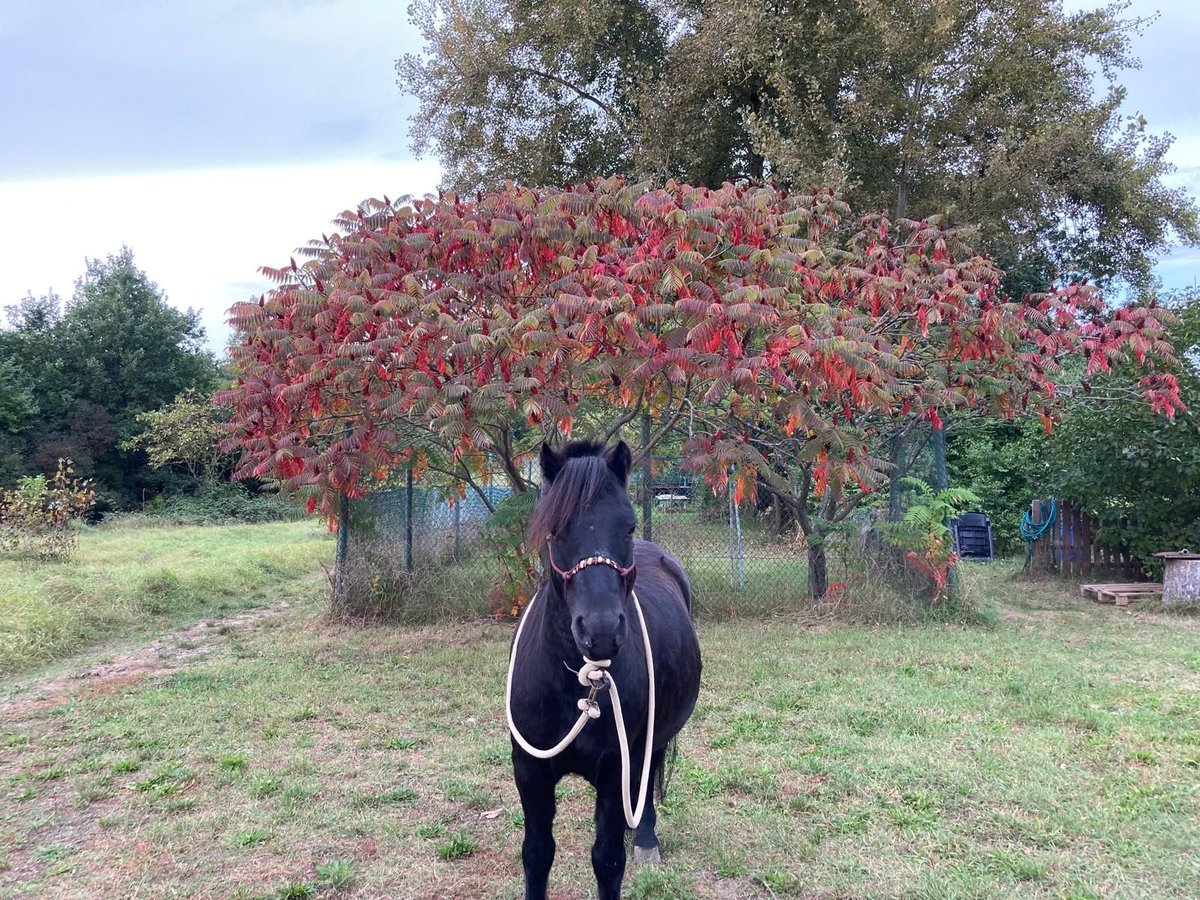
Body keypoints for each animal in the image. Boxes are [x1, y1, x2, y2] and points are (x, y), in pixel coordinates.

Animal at [506, 444, 700, 900]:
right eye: (555, 530)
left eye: (627, 527)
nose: (601, 632)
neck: (576, 686)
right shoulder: (529, 770)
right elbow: (537, 854)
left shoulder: (616, 770)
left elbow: (607, 860)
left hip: (652, 743)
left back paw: (644, 838)